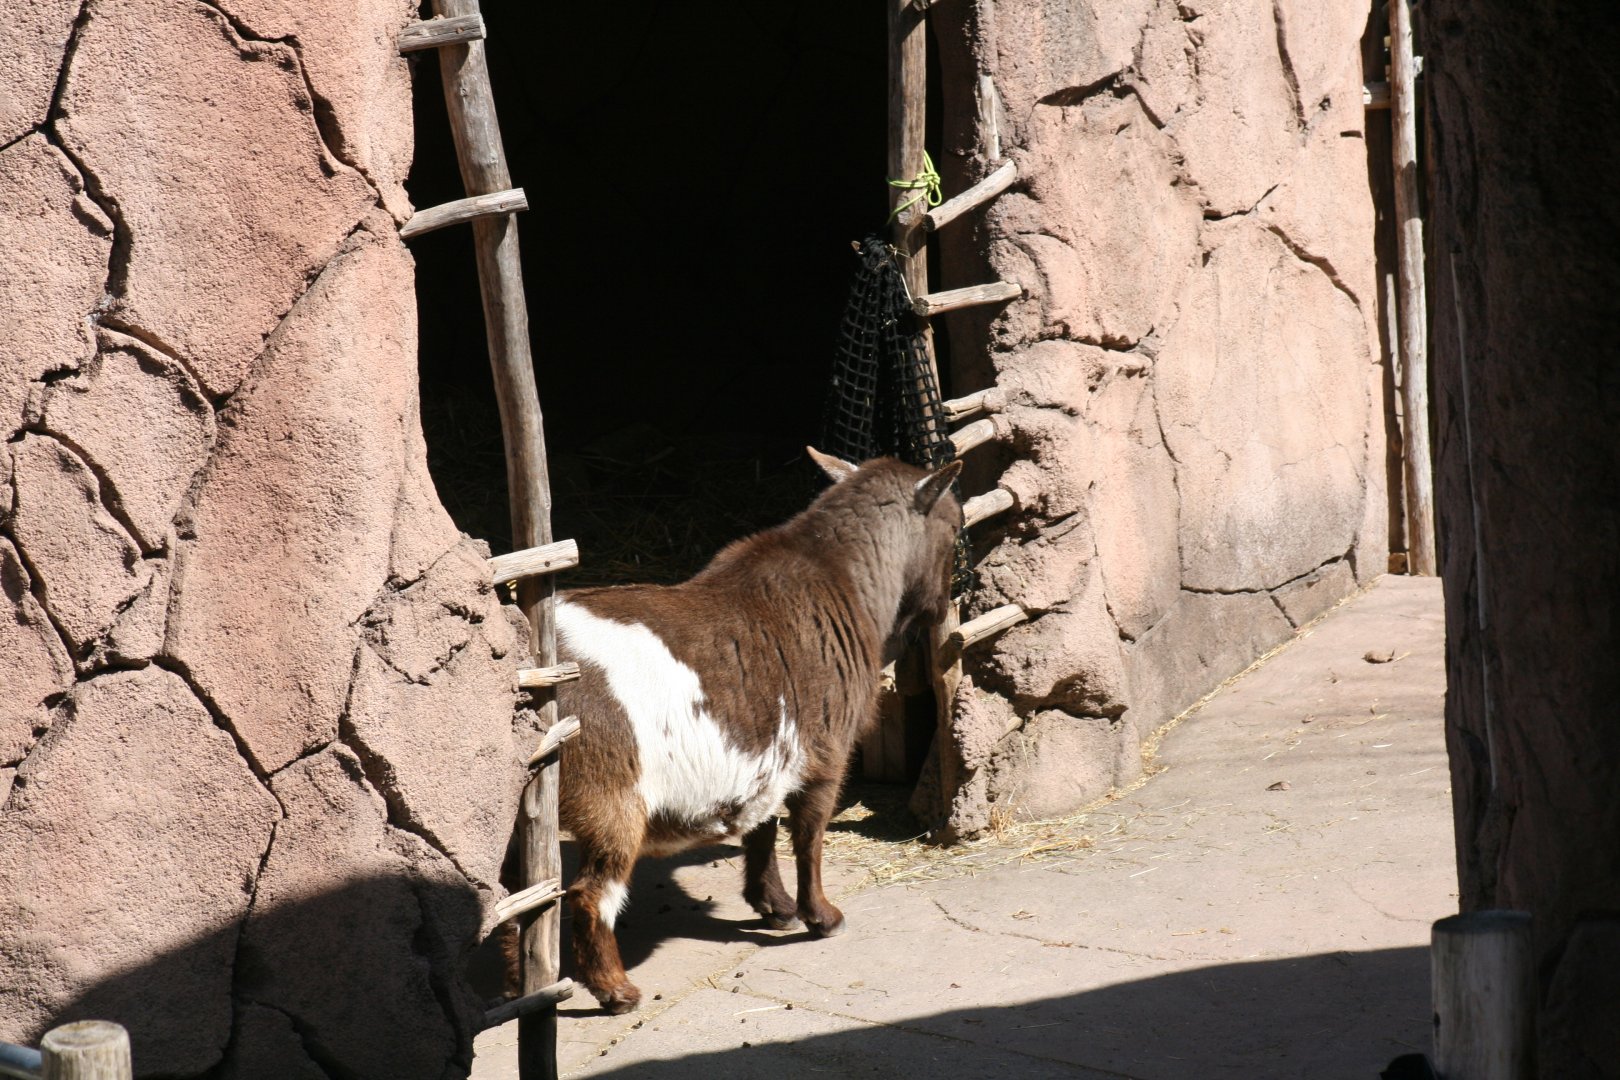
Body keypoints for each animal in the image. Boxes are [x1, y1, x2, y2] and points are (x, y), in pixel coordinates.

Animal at [551, 448, 962, 1013]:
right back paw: (617, 991)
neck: (840, 575)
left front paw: (774, 906)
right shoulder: (826, 751)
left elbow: (762, 826)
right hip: (610, 793)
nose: (944, 607)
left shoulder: (766, 755)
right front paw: (820, 917)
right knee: (592, 893)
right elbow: (809, 834)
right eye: (956, 527)